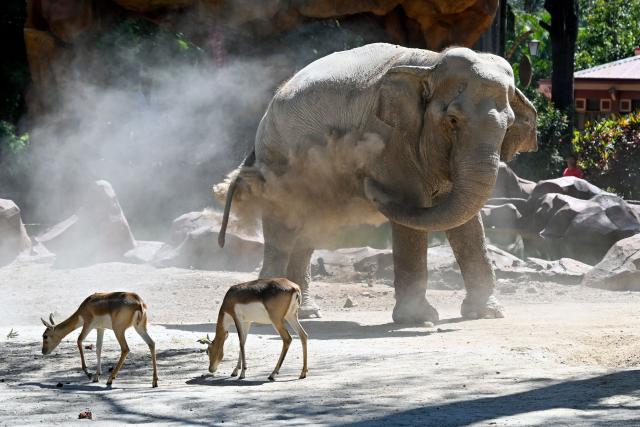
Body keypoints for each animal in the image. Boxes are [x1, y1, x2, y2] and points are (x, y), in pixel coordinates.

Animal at [214, 43, 537, 324]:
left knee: (307, 229)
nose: (367, 181)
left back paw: (306, 313)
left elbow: (466, 223)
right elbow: (412, 207)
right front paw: (418, 320)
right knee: (283, 227)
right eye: (453, 119)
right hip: (278, 159)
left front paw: (487, 313)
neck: (429, 65)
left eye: (509, 125)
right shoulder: (390, 141)